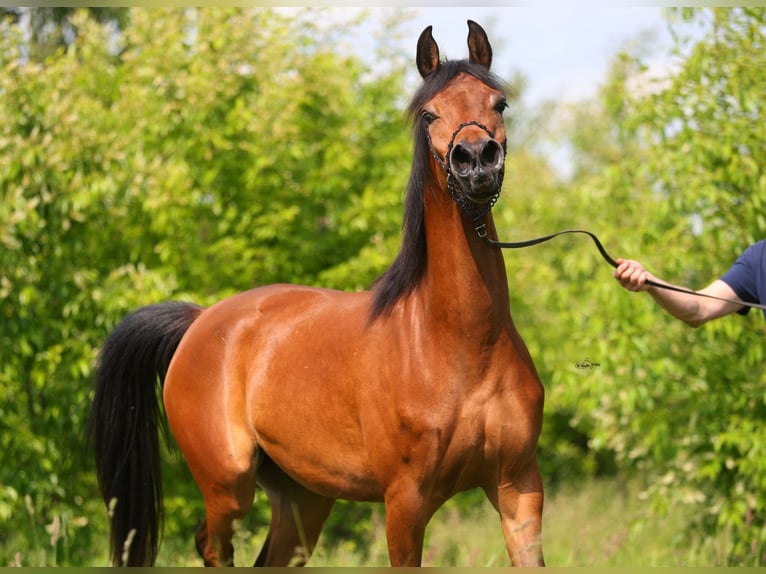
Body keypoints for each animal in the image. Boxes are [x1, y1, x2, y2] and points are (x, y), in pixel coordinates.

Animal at [86, 20, 545, 567]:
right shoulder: (405, 504)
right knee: (212, 545)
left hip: (303, 498)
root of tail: (200, 321)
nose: (476, 160)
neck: (460, 345)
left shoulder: (518, 490)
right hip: (228, 487)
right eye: (429, 113)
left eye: (499, 104)